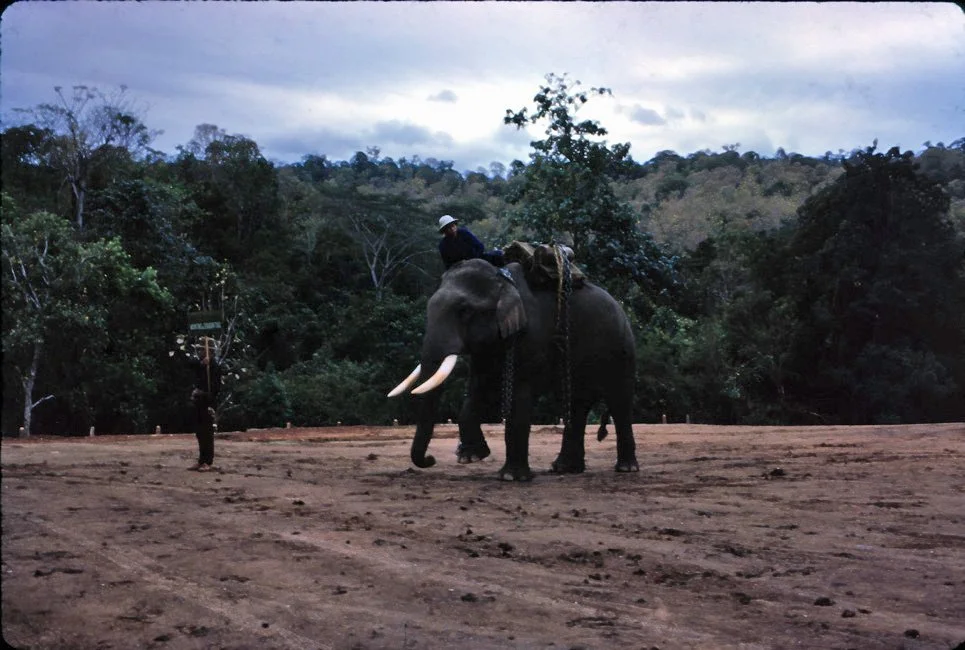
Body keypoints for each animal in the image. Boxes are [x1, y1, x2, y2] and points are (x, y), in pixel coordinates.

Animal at [388, 257, 639, 481]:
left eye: (464, 310)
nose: (430, 460)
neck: (502, 282)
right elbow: (477, 389)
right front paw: (472, 457)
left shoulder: (530, 336)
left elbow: (519, 395)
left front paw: (510, 477)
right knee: (578, 404)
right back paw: (564, 469)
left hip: (622, 348)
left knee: (619, 402)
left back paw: (626, 469)